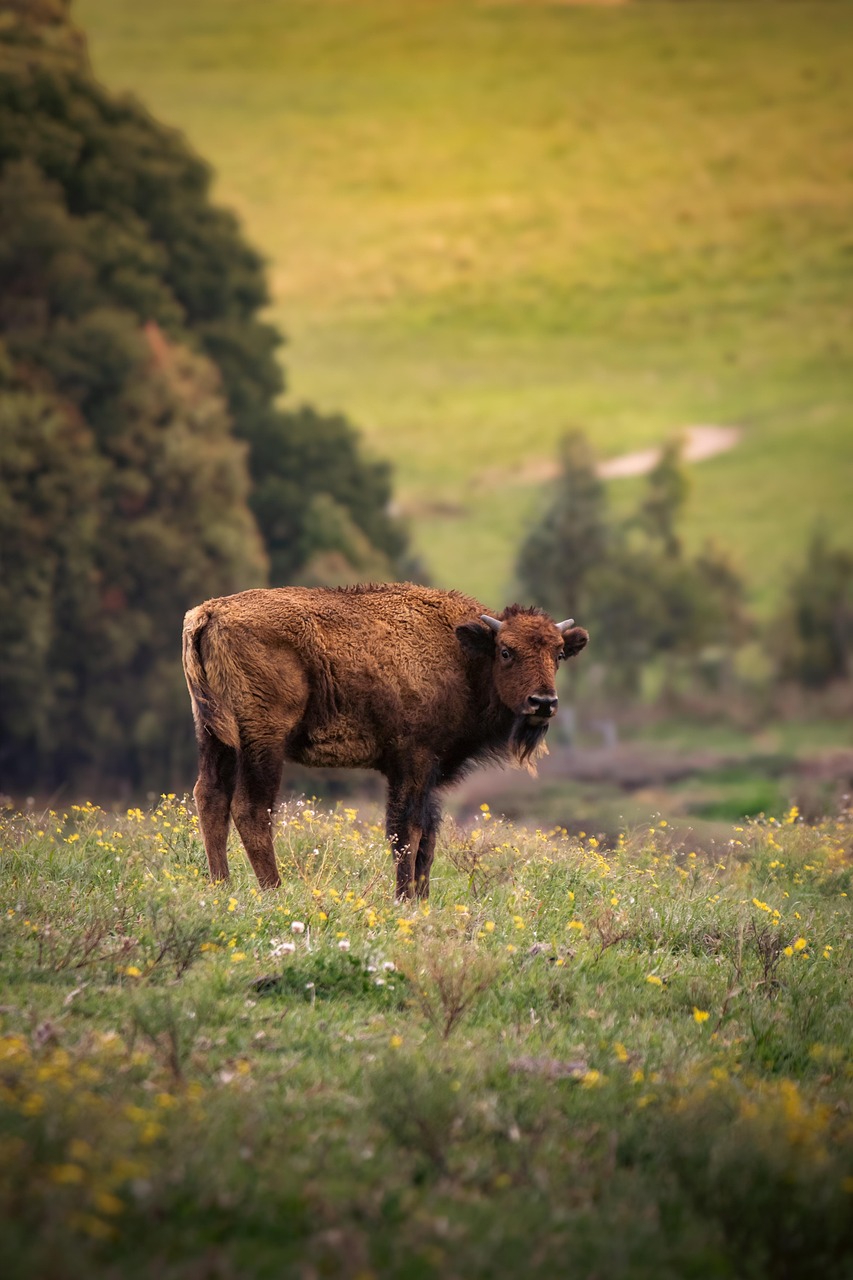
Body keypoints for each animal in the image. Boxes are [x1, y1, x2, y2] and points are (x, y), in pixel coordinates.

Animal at [182, 583, 588, 898]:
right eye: (506, 652)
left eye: (558, 653)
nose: (543, 703)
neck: (464, 655)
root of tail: (209, 612)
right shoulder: (413, 761)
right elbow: (407, 832)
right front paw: (405, 898)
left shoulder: (429, 772)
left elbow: (427, 836)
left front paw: (422, 899)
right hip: (263, 741)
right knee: (251, 808)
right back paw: (274, 891)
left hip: (215, 735)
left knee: (210, 796)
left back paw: (221, 887)